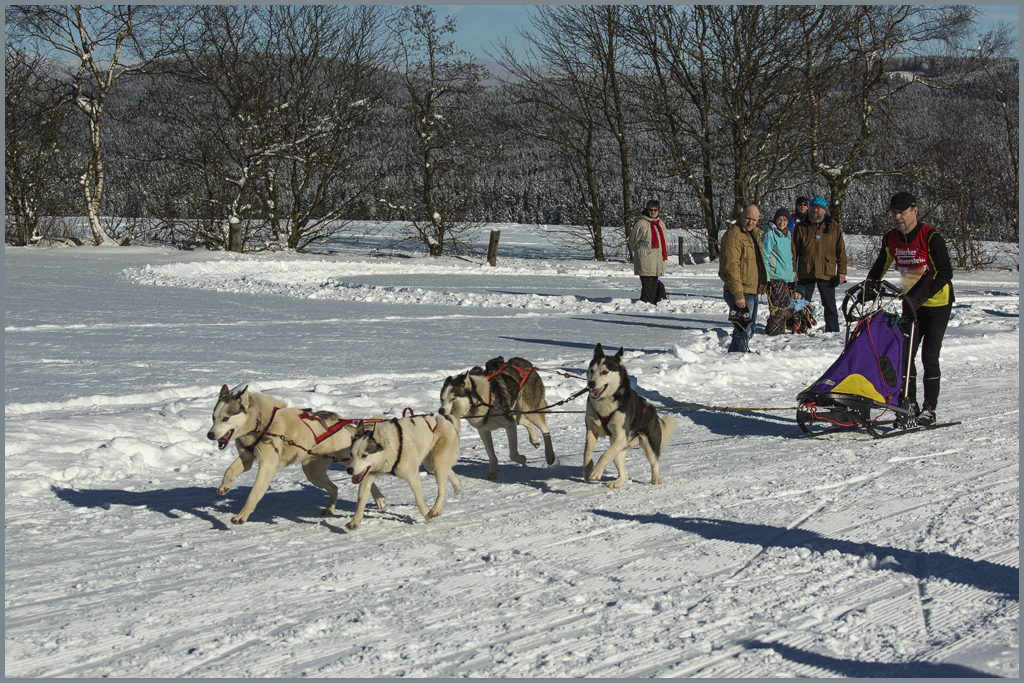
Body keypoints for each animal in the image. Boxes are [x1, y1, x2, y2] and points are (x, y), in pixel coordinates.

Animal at [205, 387, 385, 528]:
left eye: (226, 418)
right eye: (213, 418)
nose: (210, 435)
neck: (261, 423)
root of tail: (340, 421)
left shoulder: (267, 465)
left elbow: (253, 493)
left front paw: (241, 515)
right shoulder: (246, 458)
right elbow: (229, 470)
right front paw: (224, 486)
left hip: (347, 460)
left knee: (364, 475)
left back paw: (379, 498)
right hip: (313, 473)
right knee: (335, 487)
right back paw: (331, 508)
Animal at [581, 348, 675, 485]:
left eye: (605, 372)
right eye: (592, 370)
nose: (591, 383)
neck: (605, 404)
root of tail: (653, 410)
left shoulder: (621, 436)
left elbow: (604, 455)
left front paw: (596, 472)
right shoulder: (591, 430)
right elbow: (587, 452)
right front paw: (588, 470)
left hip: (649, 447)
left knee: (655, 463)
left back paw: (656, 479)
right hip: (618, 449)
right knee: (622, 472)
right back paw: (617, 482)